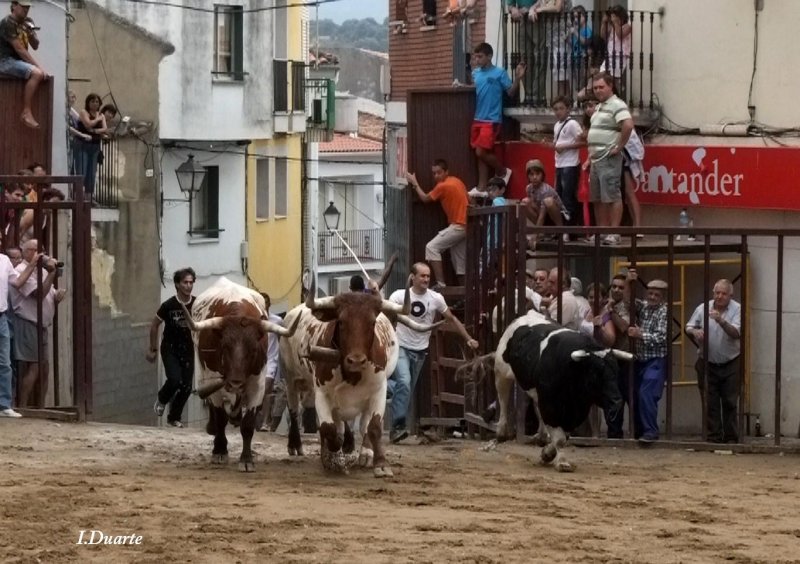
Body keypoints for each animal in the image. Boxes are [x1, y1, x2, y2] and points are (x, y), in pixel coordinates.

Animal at [181, 278, 300, 472]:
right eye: (224, 346)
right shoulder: (215, 384)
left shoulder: (257, 385)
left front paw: (246, 459)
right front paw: (219, 451)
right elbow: (220, 418)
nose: (235, 382)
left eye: (253, 350)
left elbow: (248, 425)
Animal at [280, 280, 438, 478]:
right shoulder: (322, 393)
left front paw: (380, 463)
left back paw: (364, 454)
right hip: (291, 379)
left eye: (372, 322)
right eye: (341, 322)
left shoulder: (379, 391)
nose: (356, 360)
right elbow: (329, 429)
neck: (352, 375)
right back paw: (296, 445)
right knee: (294, 409)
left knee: (360, 425)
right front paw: (334, 458)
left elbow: (373, 427)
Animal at [456, 310, 632, 474]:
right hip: (502, 373)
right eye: (595, 373)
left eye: (616, 372)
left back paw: (540, 437)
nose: (617, 401)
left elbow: (563, 436)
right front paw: (561, 462)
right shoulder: (550, 405)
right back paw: (500, 435)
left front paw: (547, 453)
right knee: (504, 403)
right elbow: (560, 438)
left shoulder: (576, 411)